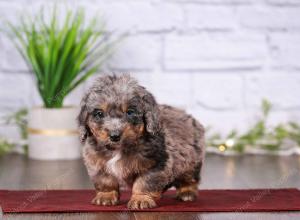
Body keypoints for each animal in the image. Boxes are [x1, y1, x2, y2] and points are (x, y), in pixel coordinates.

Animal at [77, 74, 205, 210]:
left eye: (130, 112)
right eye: (99, 113)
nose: (114, 136)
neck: (119, 149)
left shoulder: (155, 164)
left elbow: (144, 182)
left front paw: (140, 199)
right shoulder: (97, 163)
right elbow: (105, 180)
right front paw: (105, 196)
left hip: (192, 161)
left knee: (190, 179)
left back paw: (187, 192)